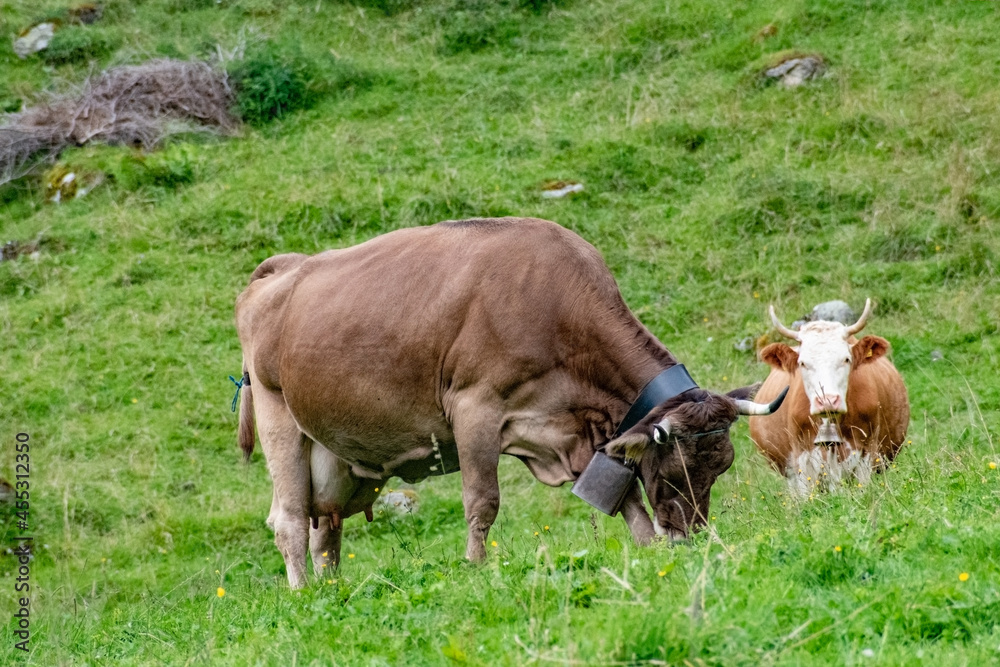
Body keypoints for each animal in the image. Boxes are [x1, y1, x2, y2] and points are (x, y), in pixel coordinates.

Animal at [234, 217, 786, 588]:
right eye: (675, 469)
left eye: (721, 468)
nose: (690, 538)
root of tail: (282, 267)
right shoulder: (475, 409)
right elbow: (483, 502)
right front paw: (478, 569)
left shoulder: (581, 429)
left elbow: (626, 495)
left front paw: (648, 548)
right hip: (278, 416)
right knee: (289, 520)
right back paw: (303, 595)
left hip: (337, 456)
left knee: (324, 530)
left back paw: (332, 592)